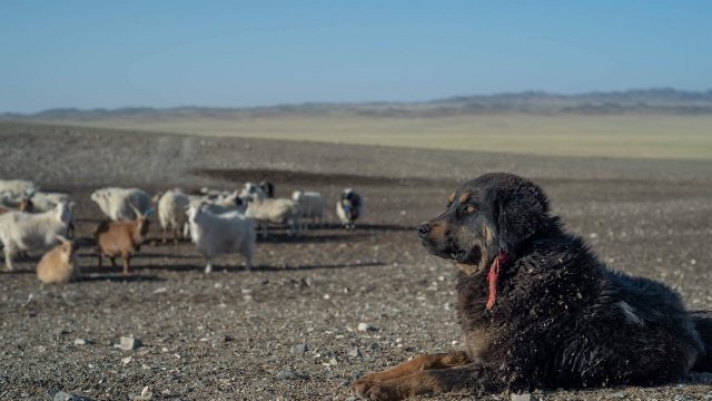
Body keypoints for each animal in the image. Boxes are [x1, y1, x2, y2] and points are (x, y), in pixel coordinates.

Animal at [352, 173, 712, 400]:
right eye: (449, 204)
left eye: (469, 208)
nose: (421, 229)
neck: (513, 265)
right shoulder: (478, 350)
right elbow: (425, 359)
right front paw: (376, 377)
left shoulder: (505, 370)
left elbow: (434, 375)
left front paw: (385, 389)